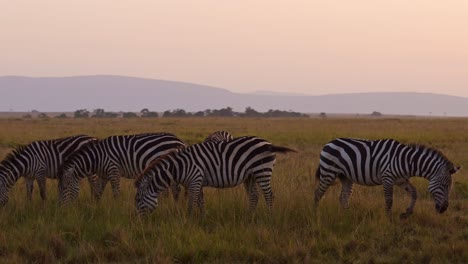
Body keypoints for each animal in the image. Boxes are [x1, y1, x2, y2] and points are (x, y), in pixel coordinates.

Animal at [59, 133, 187, 205]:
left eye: (64, 188)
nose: (63, 209)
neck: (97, 157)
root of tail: (180, 140)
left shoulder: (113, 170)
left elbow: (116, 192)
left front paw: (117, 209)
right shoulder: (104, 175)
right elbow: (98, 192)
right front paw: (96, 207)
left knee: (176, 191)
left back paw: (174, 207)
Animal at [135, 137, 296, 216]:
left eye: (138, 200)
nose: (139, 221)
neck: (179, 167)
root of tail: (268, 143)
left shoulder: (195, 180)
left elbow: (192, 203)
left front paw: (188, 219)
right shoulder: (197, 182)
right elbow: (200, 202)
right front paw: (203, 218)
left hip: (262, 170)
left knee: (269, 195)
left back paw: (270, 216)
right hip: (250, 175)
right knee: (254, 196)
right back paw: (249, 216)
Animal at [314, 137, 460, 220]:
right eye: (444, 185)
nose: (444, 209)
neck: (406, 161)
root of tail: (329, 142)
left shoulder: (401, 180)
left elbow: (414, 192)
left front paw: (407, 213)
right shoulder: (387, 178)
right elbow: (389, 200)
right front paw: (389, 219)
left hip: (346, 176)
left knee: (344, 197)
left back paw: (347, 216)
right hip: (328, 171)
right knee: (318, 193)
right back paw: (316, 214)